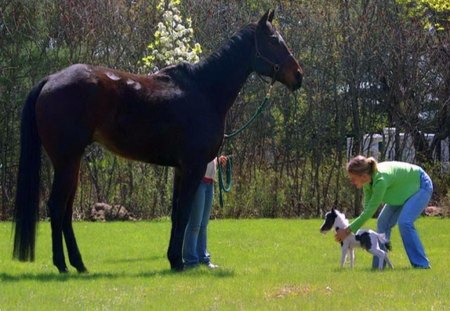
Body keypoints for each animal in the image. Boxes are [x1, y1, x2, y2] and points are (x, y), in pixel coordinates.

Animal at [13, 9, 302, 272]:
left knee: (66, 210)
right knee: (56, 207)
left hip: (72, 163)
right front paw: (178, 262)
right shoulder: (194, 167)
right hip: (66, 160)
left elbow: (176, 214)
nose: (298, 75)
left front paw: (174, 259)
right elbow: (184, 213)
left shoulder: (180, 169)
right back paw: (62, 265)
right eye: (274, 40)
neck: (204, 91)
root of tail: (51, 79)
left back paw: (78, 264)